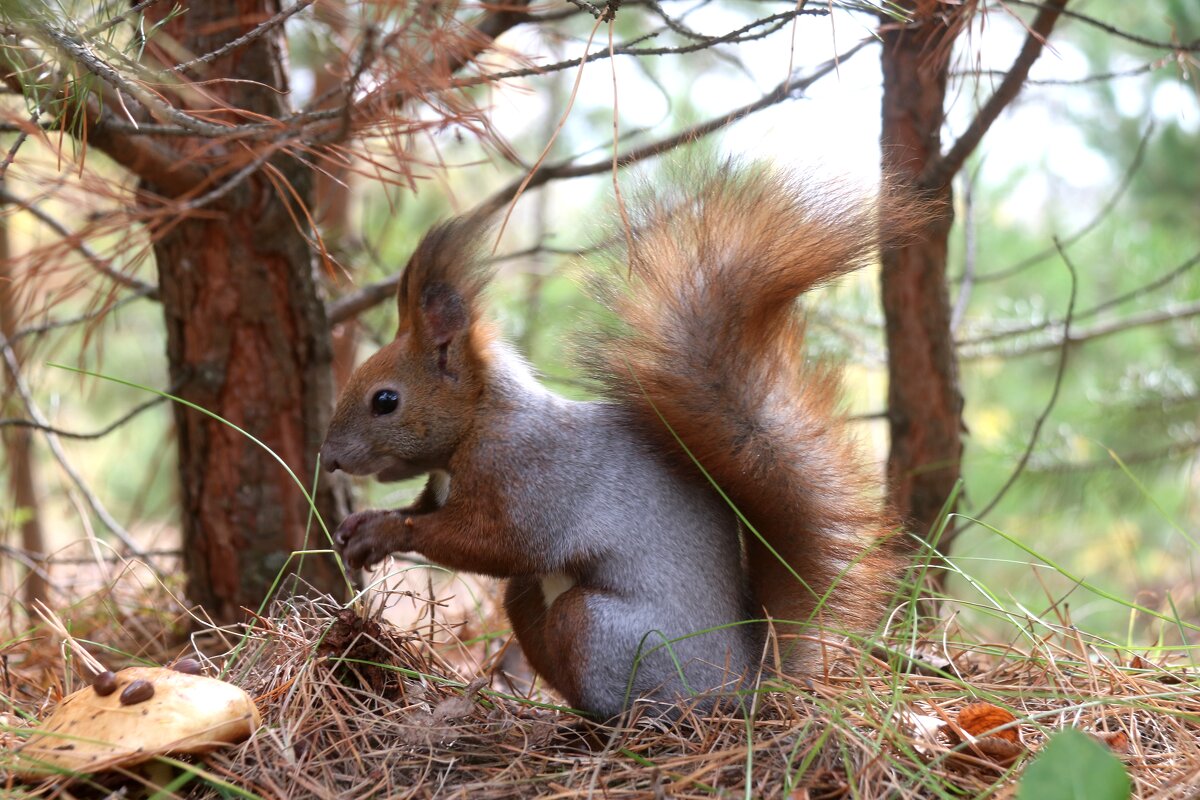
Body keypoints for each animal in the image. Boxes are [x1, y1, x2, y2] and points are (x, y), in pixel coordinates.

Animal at [319, 163, 907, 719]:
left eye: (385, 400)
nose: (328, 459)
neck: (480, 421)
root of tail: (743, 681)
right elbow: (429, 511)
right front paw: (358, 525)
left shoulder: (529, 475)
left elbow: (498, 542)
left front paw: (385, 532)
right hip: (537, 601)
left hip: (601, 629)